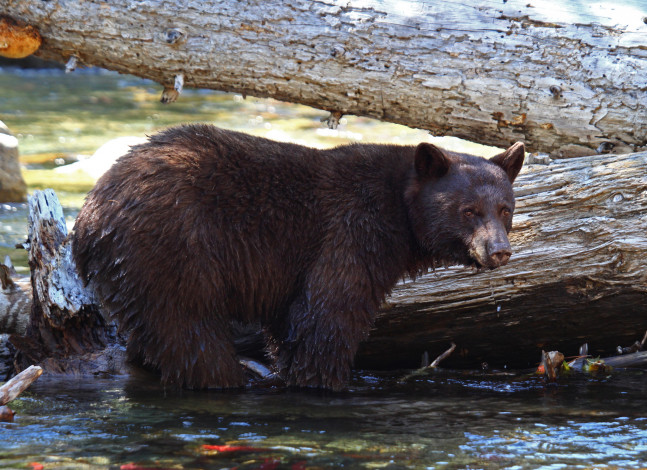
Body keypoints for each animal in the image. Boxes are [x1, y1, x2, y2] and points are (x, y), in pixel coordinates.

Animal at [72, 123, 528, 392]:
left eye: (505, 208)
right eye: (468, 210)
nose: (499, 251)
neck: (399, 211)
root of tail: (88, 217)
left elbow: (291, 322)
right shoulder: (351, 231)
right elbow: (326, 316)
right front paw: (327, 381)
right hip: (173, 249)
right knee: (189, 329)